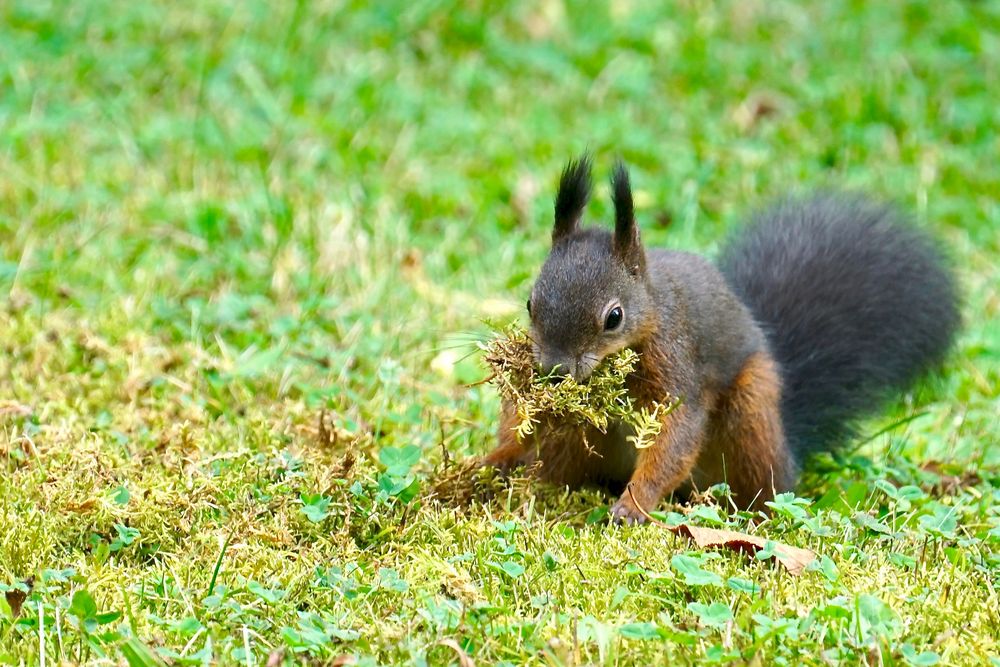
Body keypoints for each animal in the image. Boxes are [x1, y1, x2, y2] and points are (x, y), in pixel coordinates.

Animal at [484, 154, 960, 524]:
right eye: (529, 302)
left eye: (614, 318)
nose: (555, 371)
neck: (651, 312)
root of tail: (789, 452)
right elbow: (520, 414)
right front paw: (499, 453)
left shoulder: (677, 365)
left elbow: (677, 433)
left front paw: (634, 505)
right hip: (578, 441)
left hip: (749, 419)